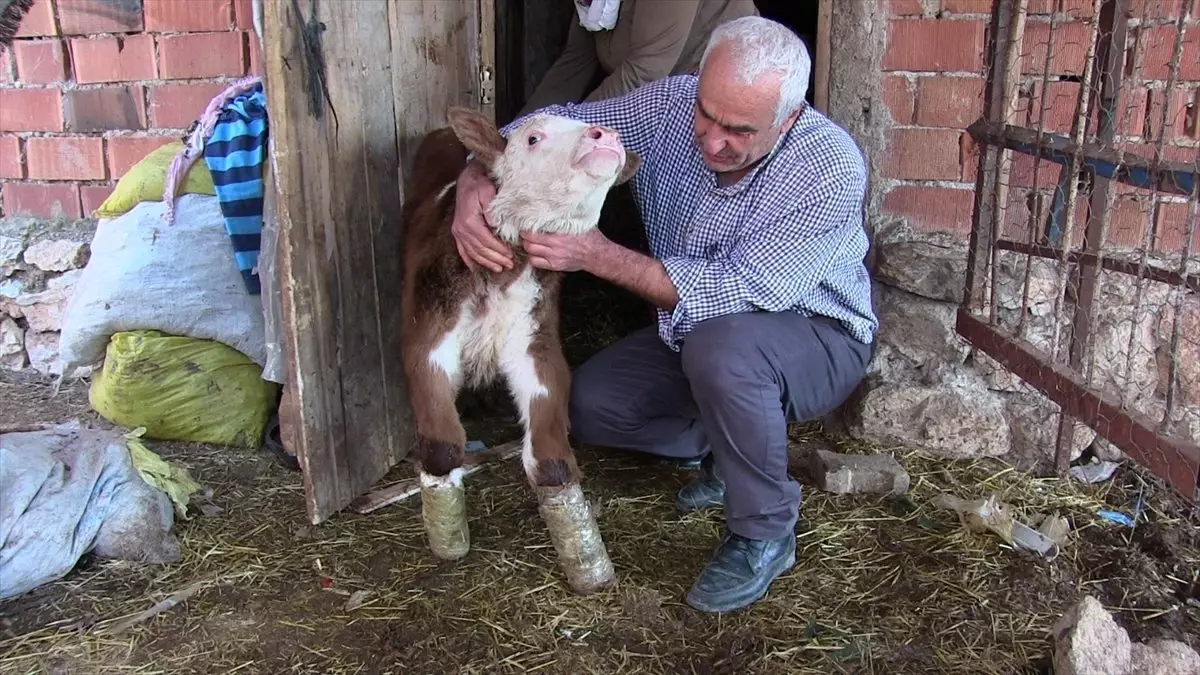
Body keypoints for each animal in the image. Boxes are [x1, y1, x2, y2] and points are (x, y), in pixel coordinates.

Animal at [398, 106, 643, 593]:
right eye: (532, 137)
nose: (606, 134)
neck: (507, 266)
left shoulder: (538, 339)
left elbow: (550, 458)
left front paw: (584, 556)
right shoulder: (427, 330)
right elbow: (442, 445)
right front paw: (447, 535)